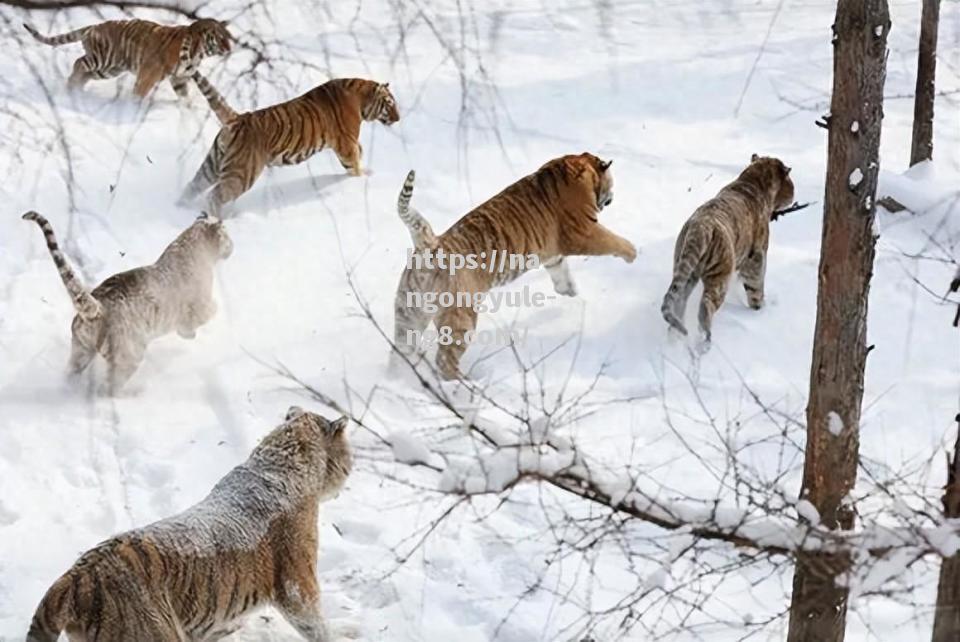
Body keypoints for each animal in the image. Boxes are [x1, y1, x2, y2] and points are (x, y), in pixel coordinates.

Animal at [22, 18, 232, 98]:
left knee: (84, 72)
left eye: (228, 36)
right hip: (103, 57)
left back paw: (76, 89)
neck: (199, 52)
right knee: (78, 63)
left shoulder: (180, 79)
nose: (230, 48)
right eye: (221, 37)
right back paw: (70, 87)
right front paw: (134, 108)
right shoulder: (149, 73)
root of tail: (94, 25)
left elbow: (185, 99)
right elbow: (139, 92)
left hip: (108, 70)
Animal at [180, 70, 402, 215]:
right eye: (390, 104)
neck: (361, 98)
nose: (399, 118)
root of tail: (238, 118)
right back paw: (215, 219)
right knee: (214, 196)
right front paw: (361, 180)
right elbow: (354, 165)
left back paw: (178, 207)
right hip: (241, 173)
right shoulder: (346, 144)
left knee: (192, 186)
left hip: (212, 164)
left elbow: (359, 153)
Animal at [390, 152, 636, 378]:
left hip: (408, 314)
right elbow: (613, 240)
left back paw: (397, 376)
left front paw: (570, 294)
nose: (612, 197)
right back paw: (465, 385)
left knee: (400, 350)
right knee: (444, 361)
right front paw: (633, 252)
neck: (578, 163)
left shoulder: (552, 253)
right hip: (460, 317)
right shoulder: (583, 232)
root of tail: (430, 245)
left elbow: (561, 272)